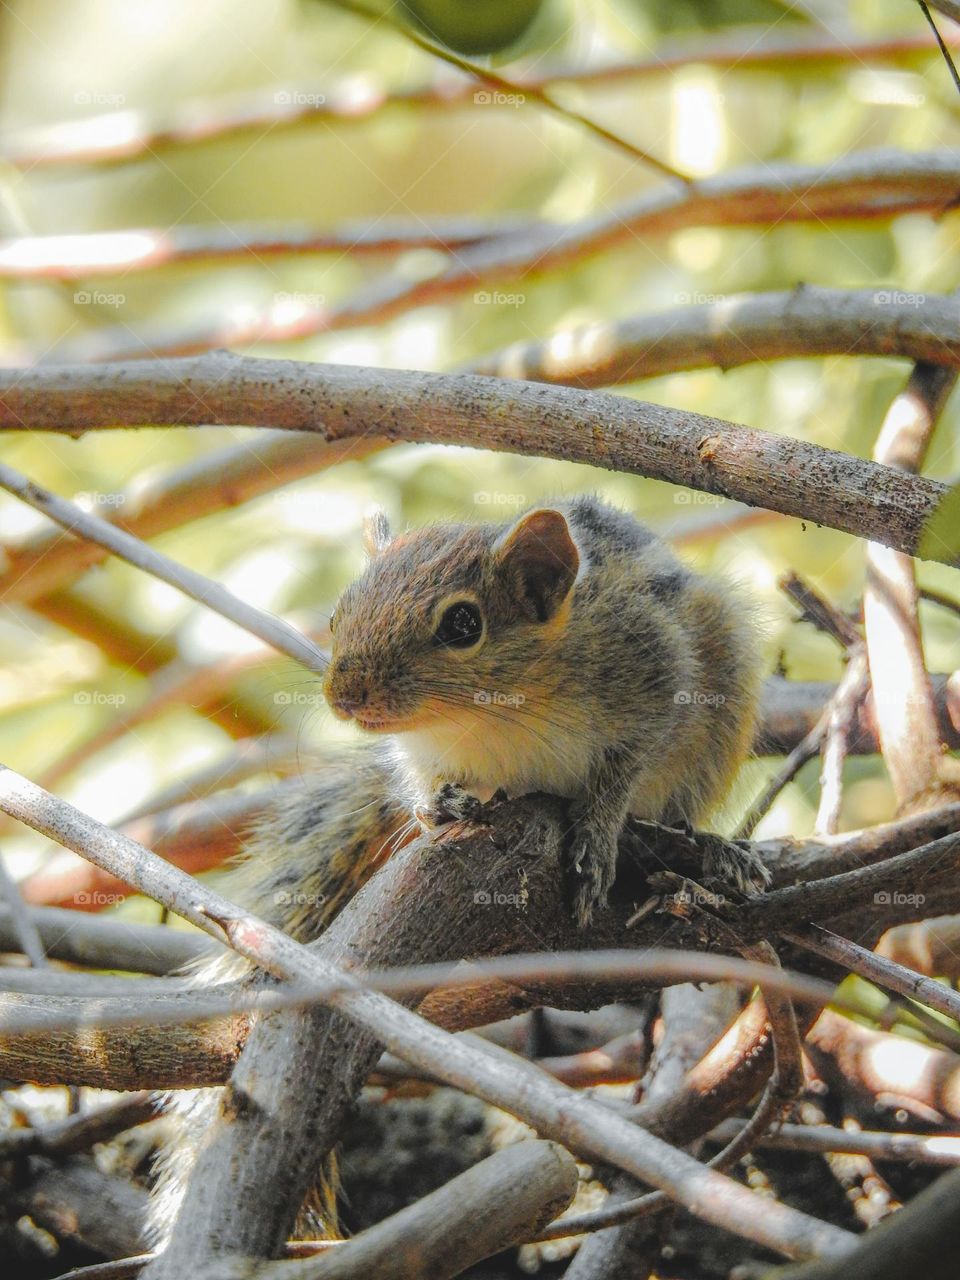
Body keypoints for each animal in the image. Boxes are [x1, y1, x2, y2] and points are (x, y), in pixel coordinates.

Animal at [150, 494, 768, 1244]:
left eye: (463, 625)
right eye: (339, 611)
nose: (345, 696)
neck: (495, 718)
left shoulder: (655, 676)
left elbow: (622, 772)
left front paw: (596, 834)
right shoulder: (423, 753)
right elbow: (425, 790)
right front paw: (437, 808)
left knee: (678, 808)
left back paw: (707, 847)